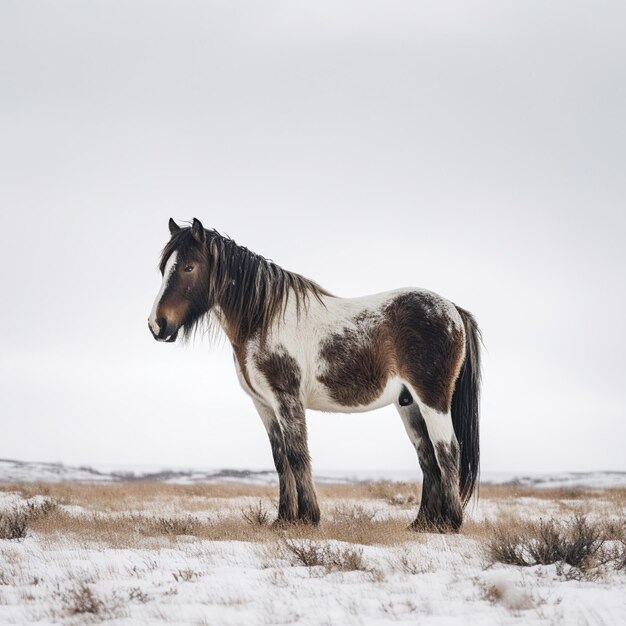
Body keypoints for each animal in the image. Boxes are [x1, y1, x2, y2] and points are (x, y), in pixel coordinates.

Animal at [149, 217, 480, 528]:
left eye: (189, 267)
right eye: (164, 268)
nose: (157, 324)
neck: (263, 319)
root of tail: (453, 309)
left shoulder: (287, 399)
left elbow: (298, 454)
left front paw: (308, 517)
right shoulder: (264, 404)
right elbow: (281, 458)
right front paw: (284, 519)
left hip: (432, 399)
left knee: (447, 451)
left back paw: (450, 523)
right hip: (409, 405)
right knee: (427, 457)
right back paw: (423, 524)